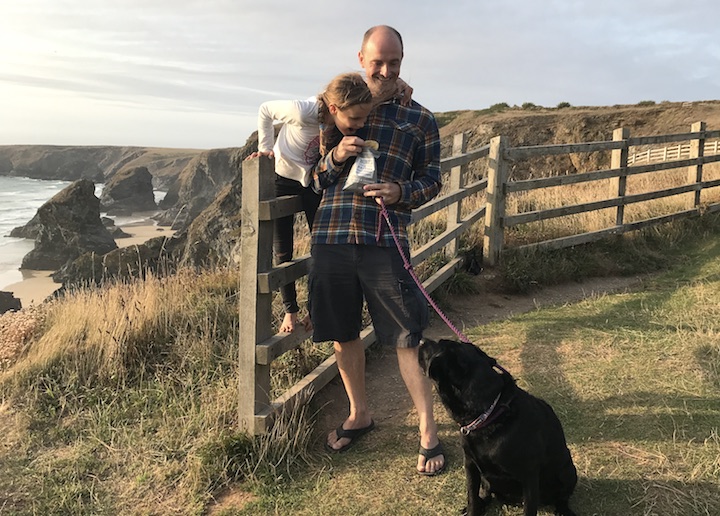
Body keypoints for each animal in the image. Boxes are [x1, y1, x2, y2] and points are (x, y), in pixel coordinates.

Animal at [420, 338, 576, 516]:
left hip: (568, 471)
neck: (490, 413)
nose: (422, 340)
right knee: (486, 494)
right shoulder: (470, 465)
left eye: (434, 346)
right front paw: (472, 509)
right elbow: (472, 496)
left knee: (562, 498)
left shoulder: (529, 475)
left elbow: (530, 508)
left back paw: (563, 510)